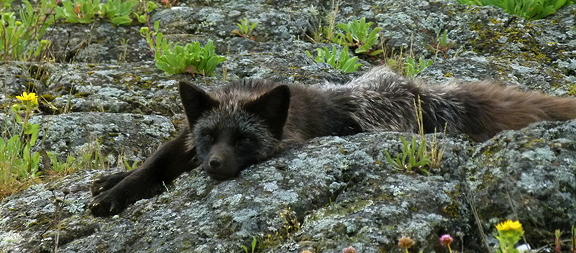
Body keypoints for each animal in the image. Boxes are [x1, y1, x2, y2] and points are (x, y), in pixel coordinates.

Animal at [88, 66, 576, 216]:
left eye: (244, 139)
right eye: (209, 135)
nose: (215, 165)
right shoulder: (183, 142)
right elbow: (153, 164)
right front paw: (113, 190)